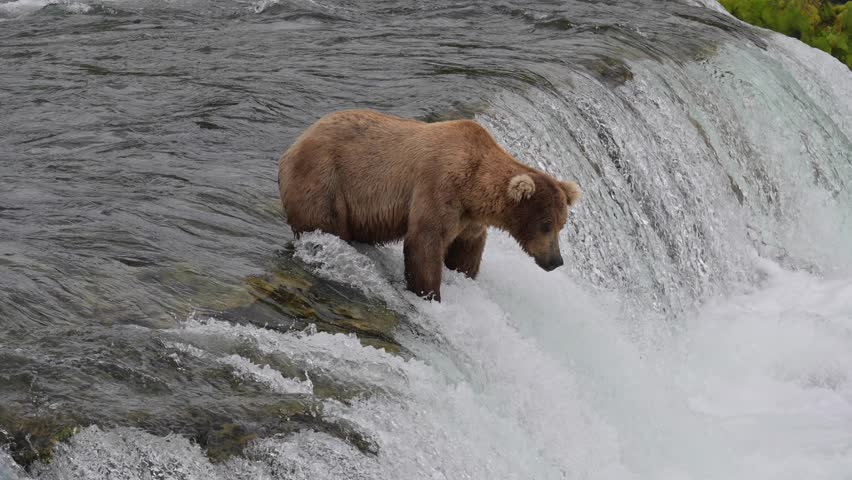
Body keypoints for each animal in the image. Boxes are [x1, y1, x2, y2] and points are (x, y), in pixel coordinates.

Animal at [278, 109, 581, 301]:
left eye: (562, 225)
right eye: (546, 225)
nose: (556, 260)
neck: (473, 188)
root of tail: (292, 145)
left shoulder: (469, 219)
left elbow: (466, 251)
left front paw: (463, 274)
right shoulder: (438, 187)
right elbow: (424, 242)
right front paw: (430, 294)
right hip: (326, 180)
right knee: (324, 223)